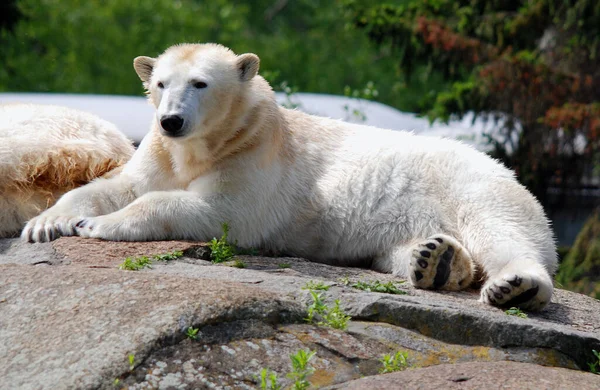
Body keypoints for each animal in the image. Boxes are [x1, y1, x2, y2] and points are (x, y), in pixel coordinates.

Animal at [23, 42, 556, 310]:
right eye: (159, 83)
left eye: (200, 83)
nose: (171, 120)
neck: (205, 145)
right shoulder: (161, 154)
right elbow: (120, 186)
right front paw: (46, 223)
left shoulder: (257, 154)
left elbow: (221, 211)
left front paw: (98, 226)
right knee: (403, 249)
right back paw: (436, 260)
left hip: (471, 184)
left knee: (501, 229)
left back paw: (516, 285)